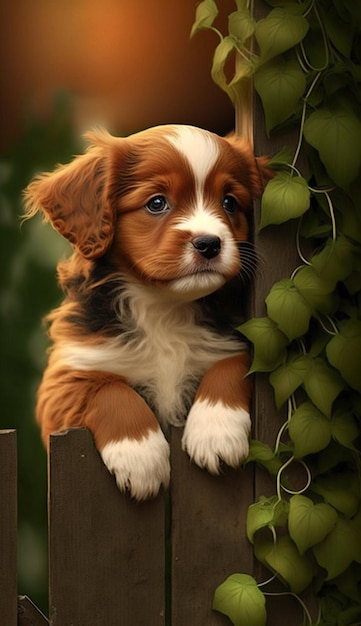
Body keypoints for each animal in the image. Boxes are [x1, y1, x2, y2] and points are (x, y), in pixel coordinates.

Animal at [23, 125, 270, 498]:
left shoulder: (234, 339)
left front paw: (216, 429)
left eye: (229, 202)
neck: (163, 305)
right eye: (156, 203)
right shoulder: (64, 380)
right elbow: (109, 391)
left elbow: (233, 363)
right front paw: (139, 455)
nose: (209, 244)